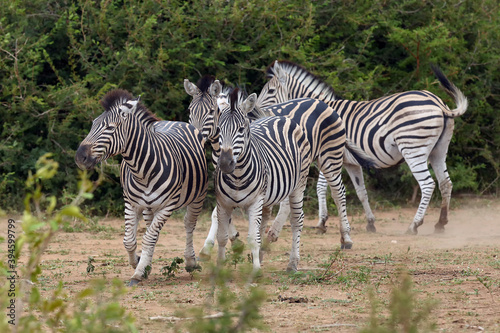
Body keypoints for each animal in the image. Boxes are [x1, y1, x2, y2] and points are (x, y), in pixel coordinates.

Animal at [74, 89, 207, 286]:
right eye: (92, 125)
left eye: (110, 128)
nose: (79, 157)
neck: (142, 172)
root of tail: (174, 121)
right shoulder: (131, 203)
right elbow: (129, 240)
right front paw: (138, 263)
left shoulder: (167, 206)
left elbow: (149, 238)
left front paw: (138, 273)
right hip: (148, 207)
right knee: (151, 229)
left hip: (198, 196)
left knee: (189, 224)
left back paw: (190, 262)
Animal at [215, 89, 312, 272]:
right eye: (218, 129)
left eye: (241, 129)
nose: (224, 163)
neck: (237, 177)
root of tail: (280, 117)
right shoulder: (223, 204)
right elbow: (222, 237)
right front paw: (219, 270)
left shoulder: (255, 202)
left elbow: (253, 238)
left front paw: (256, 271)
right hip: (267, 197)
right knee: (264, 221)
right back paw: (260, 257)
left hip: (299, 185)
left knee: (297, 220)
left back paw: (292, 263)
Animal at [256, 61, 466, 235]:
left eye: (271, 91)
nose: (254, 111)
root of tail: (438, 103)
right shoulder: (351, 163)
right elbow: (361, 192)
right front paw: (370, 223)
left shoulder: (328, 155)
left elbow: (321, 187)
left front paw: (322, 223)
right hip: (438, 151)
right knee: (445, 183)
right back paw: (440, 223)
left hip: (413, 148)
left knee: (428, 184)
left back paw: (414, 225)